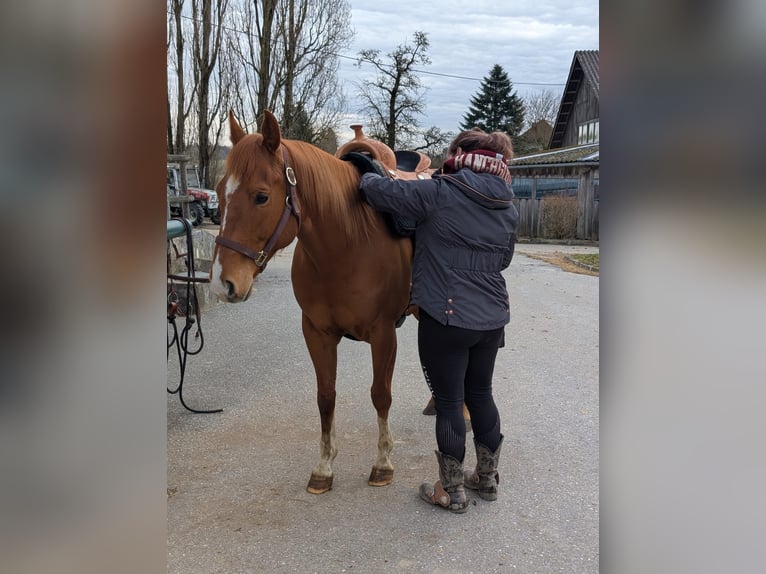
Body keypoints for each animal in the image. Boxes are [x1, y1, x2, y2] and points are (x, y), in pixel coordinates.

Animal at [210, 110, 415, 494]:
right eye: (218, 192)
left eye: (261, 197)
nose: (222, 283)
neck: (348, 240)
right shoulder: (317, 333)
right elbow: (325, 397)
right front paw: (324, 466)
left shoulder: (384, 335)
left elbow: (380, 394)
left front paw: (382, 462)